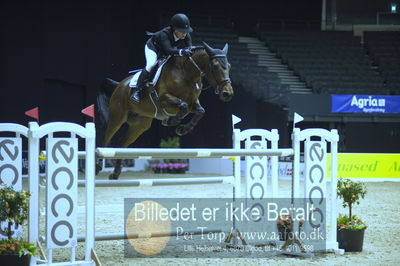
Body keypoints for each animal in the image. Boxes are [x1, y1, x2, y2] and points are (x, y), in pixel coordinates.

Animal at [97, 42, 234, 179]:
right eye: (215, 65)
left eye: (229, 66)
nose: (227, 94)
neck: (187, 74)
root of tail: (119, 85)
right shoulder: (163, 99)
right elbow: (183, 106)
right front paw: (172, 121)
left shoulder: (193, 103)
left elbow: (200, 111)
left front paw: (182, 129)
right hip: (117, 118)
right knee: (105, 140)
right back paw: (98, 166)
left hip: (139, 126)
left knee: (122, 144)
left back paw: (115, 173)